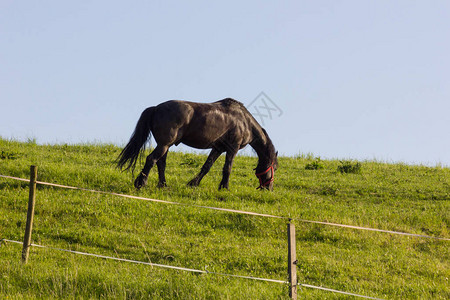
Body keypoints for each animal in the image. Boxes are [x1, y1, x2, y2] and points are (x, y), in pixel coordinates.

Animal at [116, 99, 278, 191]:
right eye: (274, 168)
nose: (269, 188)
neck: (244, 122)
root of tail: (156, 108)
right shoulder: (233, 148)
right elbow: (228, 168)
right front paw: (225, 188)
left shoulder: (218, 148)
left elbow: (207, 166)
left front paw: (193, 183)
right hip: (164, 145)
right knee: (151, 159)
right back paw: (141, 183)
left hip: (165, 146)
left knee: (161, 163)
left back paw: (163, 185)